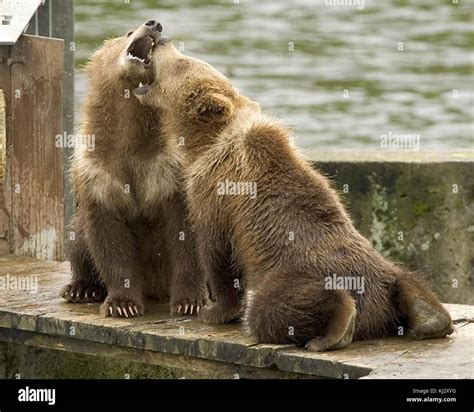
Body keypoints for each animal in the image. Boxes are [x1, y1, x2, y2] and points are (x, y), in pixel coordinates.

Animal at [59, 21, 207, 318]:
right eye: (127, 33)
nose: (154, 24)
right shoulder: (98, 172)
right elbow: (108, 239)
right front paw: (122, 304)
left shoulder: (171, 170)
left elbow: (186, 235)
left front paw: (189, 301)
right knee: (77, 238)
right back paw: (80, 288)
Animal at [135, 36, 454, 350]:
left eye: (182, 62)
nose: (162, 39)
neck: (205, 142)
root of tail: (375, 311)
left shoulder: (214, 193)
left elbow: (217, 251)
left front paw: (213, 311)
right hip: (383, 270)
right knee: (408, 279)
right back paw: (431, 319)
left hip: (290, 272)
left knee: (272, 309)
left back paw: (339, 324)